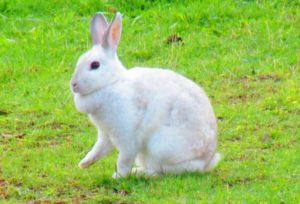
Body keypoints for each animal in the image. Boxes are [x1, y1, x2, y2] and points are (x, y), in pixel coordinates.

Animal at [70, 11, 220, 178]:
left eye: (95, 65)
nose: (73, 84)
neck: (111, 83)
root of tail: (206, 162)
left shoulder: (127, 136)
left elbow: (124, 159)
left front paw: (118, 176)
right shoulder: (105, 134)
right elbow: (98, 149)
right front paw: (84, 163)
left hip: (160, 147)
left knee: (162, 171)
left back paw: (140, 173)